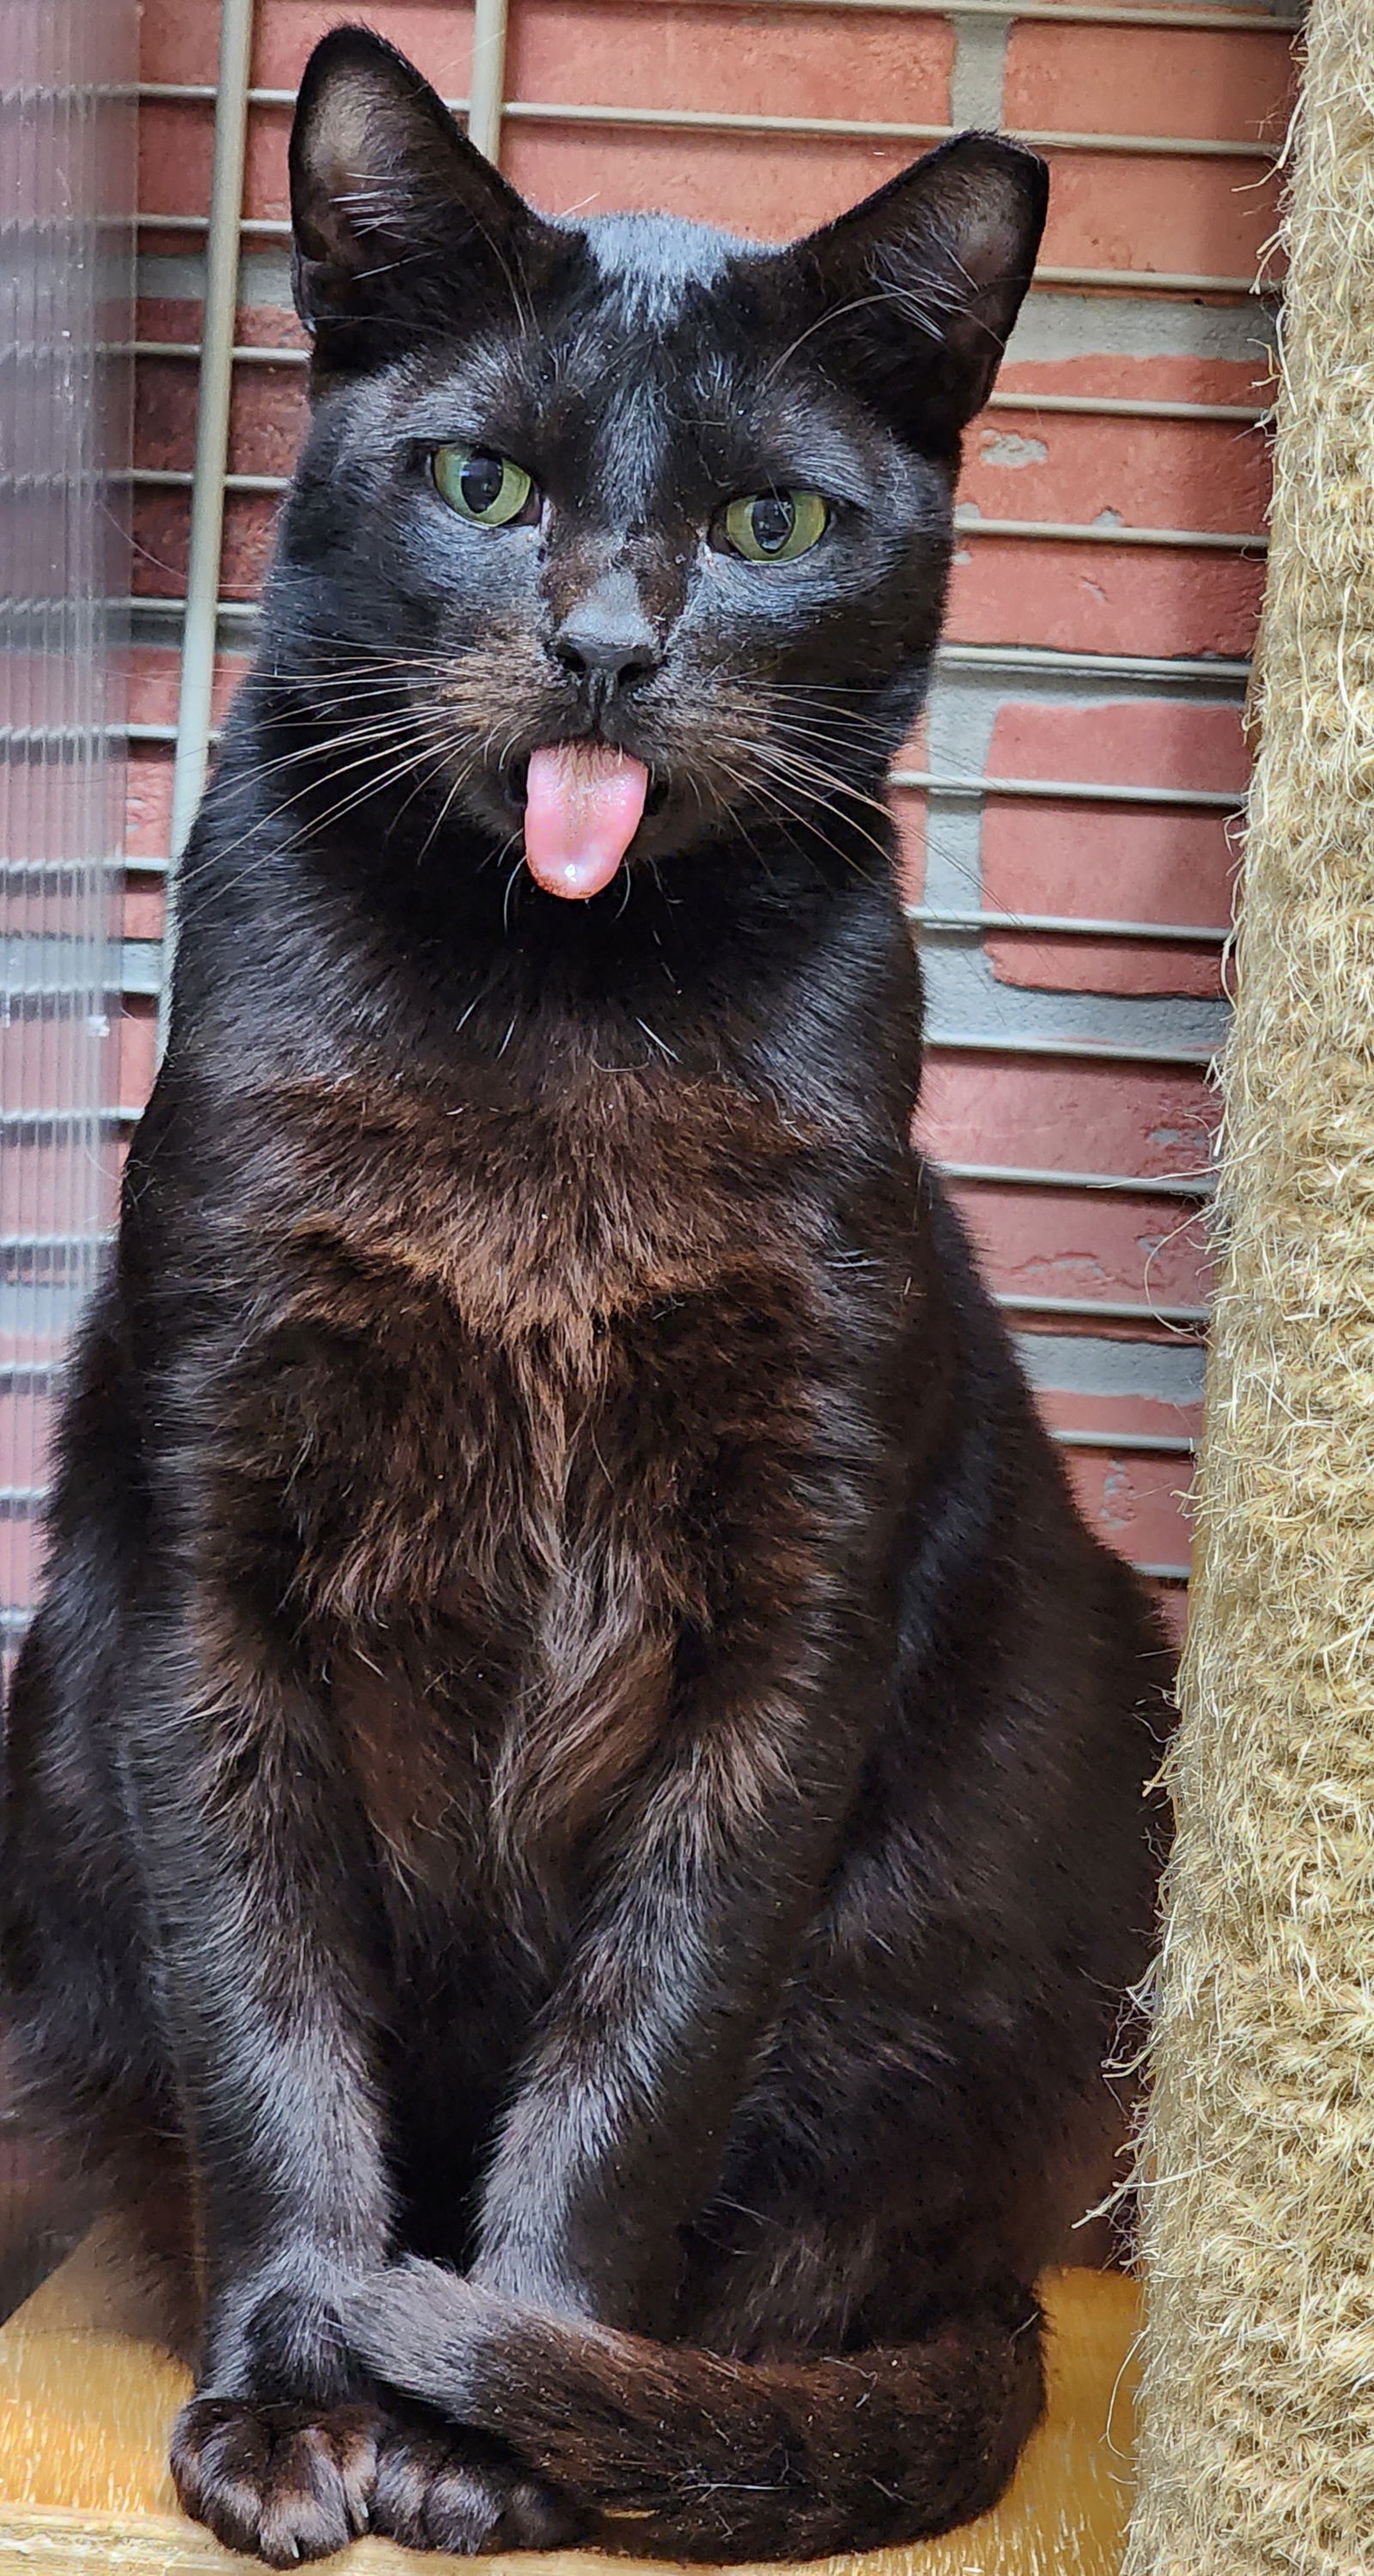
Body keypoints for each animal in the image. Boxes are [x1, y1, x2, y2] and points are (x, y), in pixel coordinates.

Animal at [0, 30, 1173, 2566]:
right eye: (483, 479)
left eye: (768, 526)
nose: (615, 645)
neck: (554, 1026)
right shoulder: (206, 1561)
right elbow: (265, 2024)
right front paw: (294, 2392)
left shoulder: (791, 1606)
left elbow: (642, 2051)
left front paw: (475, 2404)